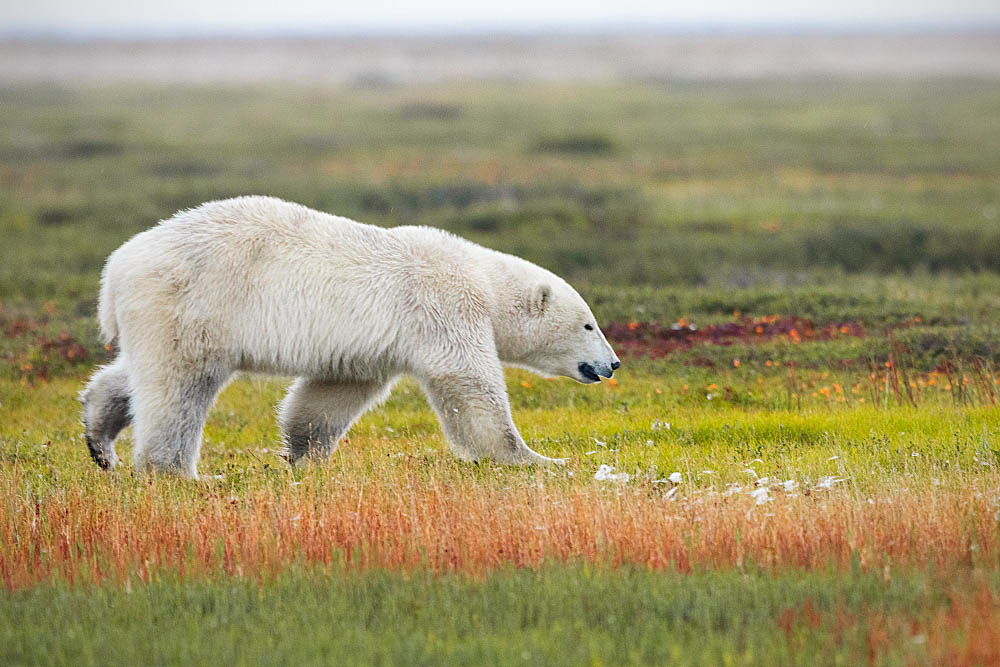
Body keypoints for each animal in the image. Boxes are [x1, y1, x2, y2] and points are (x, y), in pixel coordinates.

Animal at [82, 196, 620, 478]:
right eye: (589, 323)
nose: (612, 364)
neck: (482, 279)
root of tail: (115, 267)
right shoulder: (443, 305)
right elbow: (468, 384)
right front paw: (538, 458)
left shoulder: (369, 349)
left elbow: (331, 394)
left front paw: (304, 457)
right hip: (194, 300)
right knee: (179, 389)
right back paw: (177, 471)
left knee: (136, 375)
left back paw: (99, 439)